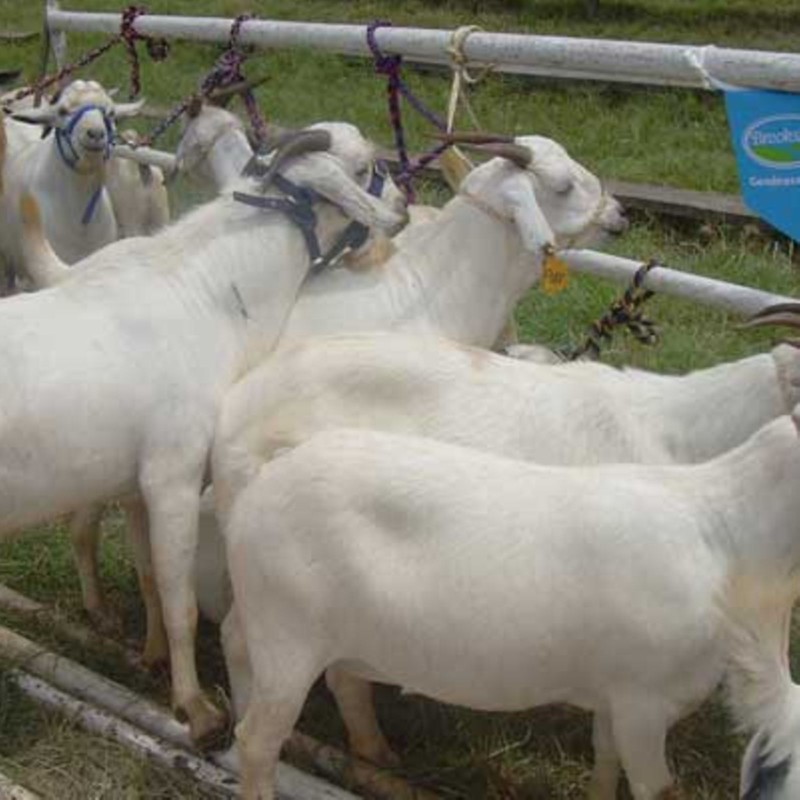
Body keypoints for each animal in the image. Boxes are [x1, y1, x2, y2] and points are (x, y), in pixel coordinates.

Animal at [0, 126, 406, 746]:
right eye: (362, 169)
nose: (405, 205)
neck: (209, 296)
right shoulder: (175, 471)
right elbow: (180, 598)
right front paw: (195, 708)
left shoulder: (136, 483)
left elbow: (148, 574)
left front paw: (151, 658)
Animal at [223, 415, 800, 800]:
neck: (722, 529)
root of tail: (270, 469)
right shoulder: (644, 701)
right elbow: (654, 788)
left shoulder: (615, 693)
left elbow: (604, 760)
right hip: (289, 632)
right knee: (257, 740)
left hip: (288, 622)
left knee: (264, 657)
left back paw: (373, 752)